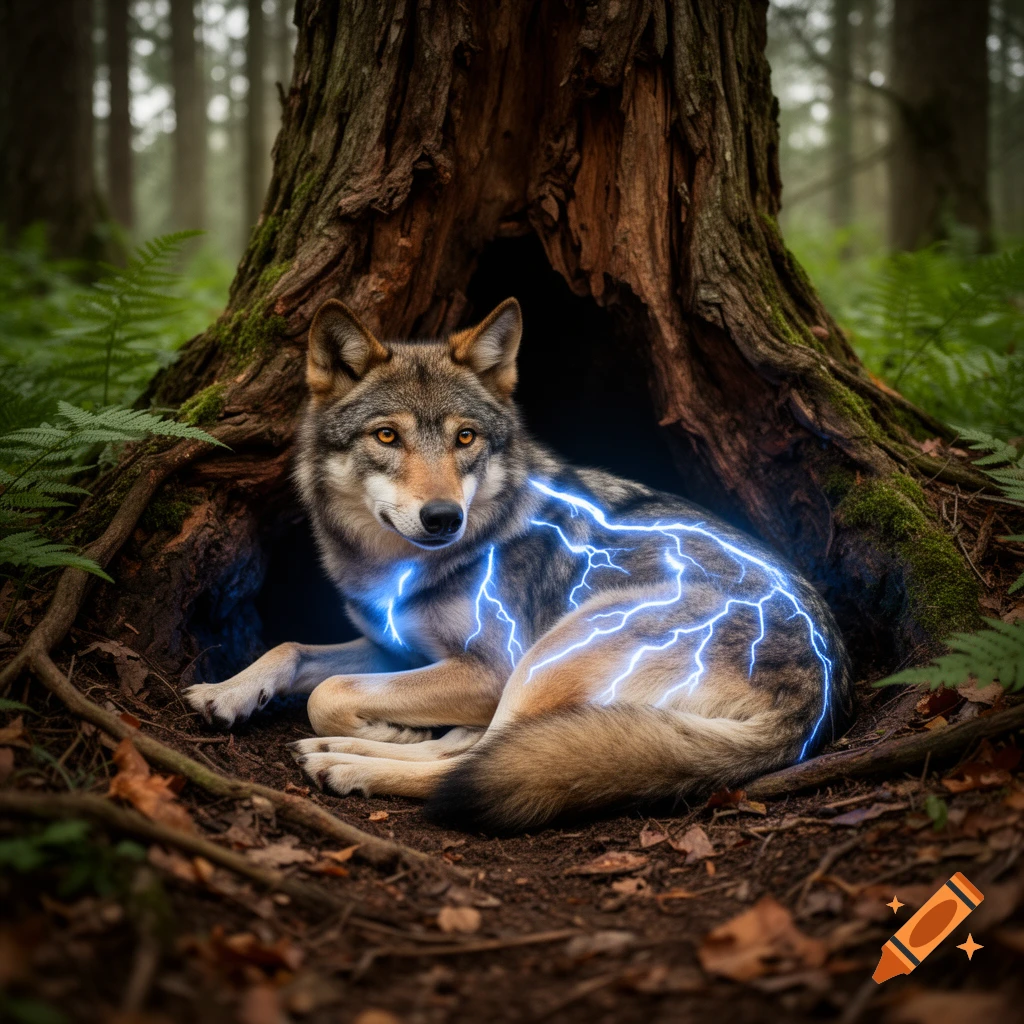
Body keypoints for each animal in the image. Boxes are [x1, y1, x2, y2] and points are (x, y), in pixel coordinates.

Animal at [184, 297, 852, 832]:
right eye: (386, 436)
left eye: (465, 438)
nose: (442, 517)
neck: (400, 569)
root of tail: (815, 700)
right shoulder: (396, 647)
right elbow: (292, 650)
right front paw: (227, 691)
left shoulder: (486, 669)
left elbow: (330, 689)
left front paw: (381, 730)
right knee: (473, 747)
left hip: (551, 655)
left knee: (474, 762)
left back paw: (346, 762)